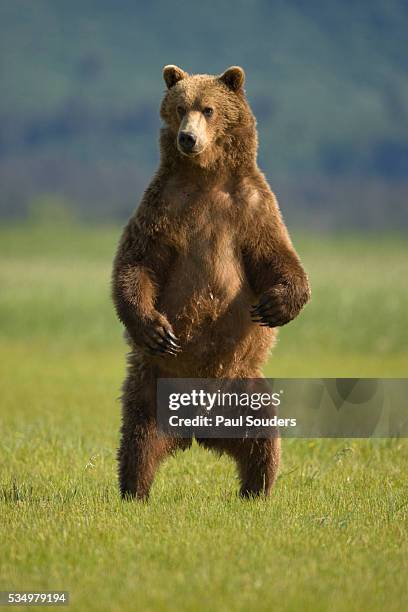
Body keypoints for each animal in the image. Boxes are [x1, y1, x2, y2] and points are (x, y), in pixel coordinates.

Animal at [111, 64, 310, 500]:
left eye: (209, 109)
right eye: (180, 107)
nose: (187, 138)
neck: (206, 177)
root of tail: (197, 430)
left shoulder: (252, 207)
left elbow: (277, 256)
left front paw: (274, 306)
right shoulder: (163, 206)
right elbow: (138, 263)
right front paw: (155, 329)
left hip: (245, 386)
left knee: (263, 437)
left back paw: (256, 490)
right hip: (153, 384)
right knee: (138, 437)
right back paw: (135, 490)